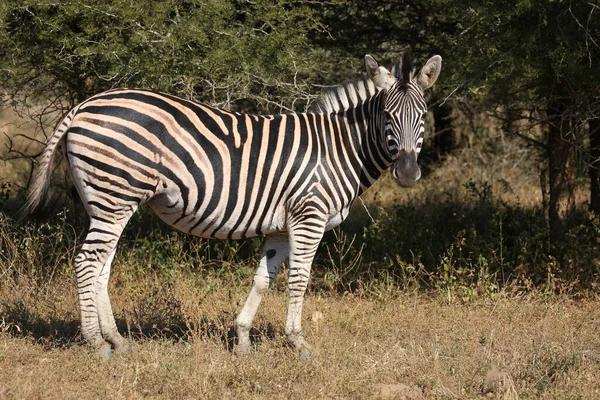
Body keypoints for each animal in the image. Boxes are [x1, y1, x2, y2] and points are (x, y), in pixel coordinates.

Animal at [19, 50, 440, 360]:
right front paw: (298, 342)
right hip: (114, 195)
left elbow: (263, 278)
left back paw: (117, 340)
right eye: (386, 115)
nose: (407, 174)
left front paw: (242, 340)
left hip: (109, 201)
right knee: (87, 262)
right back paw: (96, 343)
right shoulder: (309, 215)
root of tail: (84, 105)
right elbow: (300, 279)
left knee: (101, 265)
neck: (338, 149)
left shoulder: (280, 226)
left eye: (422, 116)